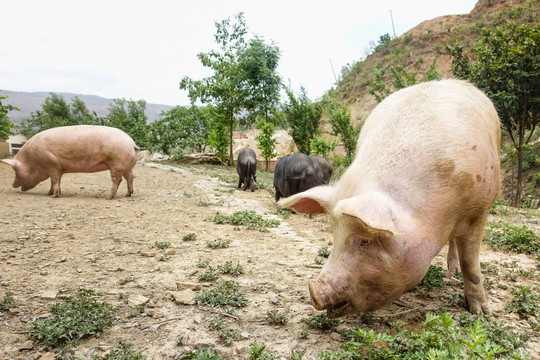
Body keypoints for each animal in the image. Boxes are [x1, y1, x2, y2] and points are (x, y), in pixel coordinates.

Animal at [1, 124, 139, 198]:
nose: (13, 185)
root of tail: (132, 143)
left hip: (116, 163)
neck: (32, 160)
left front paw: (54, 196)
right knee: (130, 177)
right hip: (126, 166)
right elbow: (55, 181)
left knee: (118, 179)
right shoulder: (58, 168)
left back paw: (109, 197)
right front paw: (50, 193)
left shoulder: (51, 163)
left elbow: (54, 179)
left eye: (15, 171)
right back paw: (128, 194)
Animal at [280, 79, 500, 318]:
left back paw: (453, 273)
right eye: (334, 234)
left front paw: (481, 313)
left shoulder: (480, 208)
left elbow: (471, 262)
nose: (314, 293)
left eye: (365, 240)